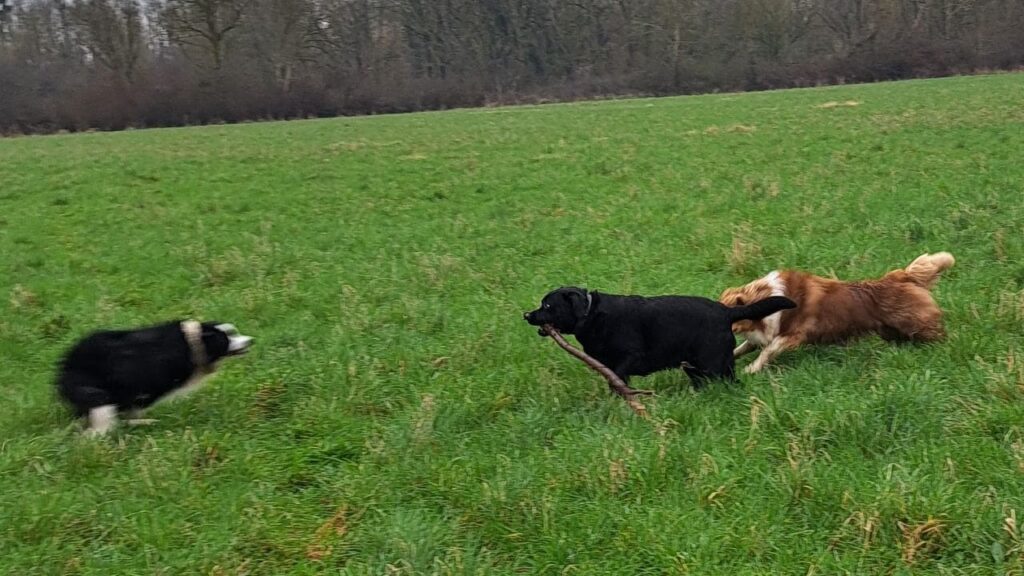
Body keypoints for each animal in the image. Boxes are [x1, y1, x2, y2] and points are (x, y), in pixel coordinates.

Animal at [524, 284, 794, 385]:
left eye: (547, 305)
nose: (526, 315)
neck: (591, 315)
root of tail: (726, 311)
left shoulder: (630, 356)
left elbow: (617, 378)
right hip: (694, 366)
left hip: (714, 363)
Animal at [720, 251, 950, 373]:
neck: (765, 296)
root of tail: (902, 275)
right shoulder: (760, 334)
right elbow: (742, 348)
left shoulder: (792, 335)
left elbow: (767, 351)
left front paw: (750, 369)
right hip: (891, 331)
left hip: (917, 326)